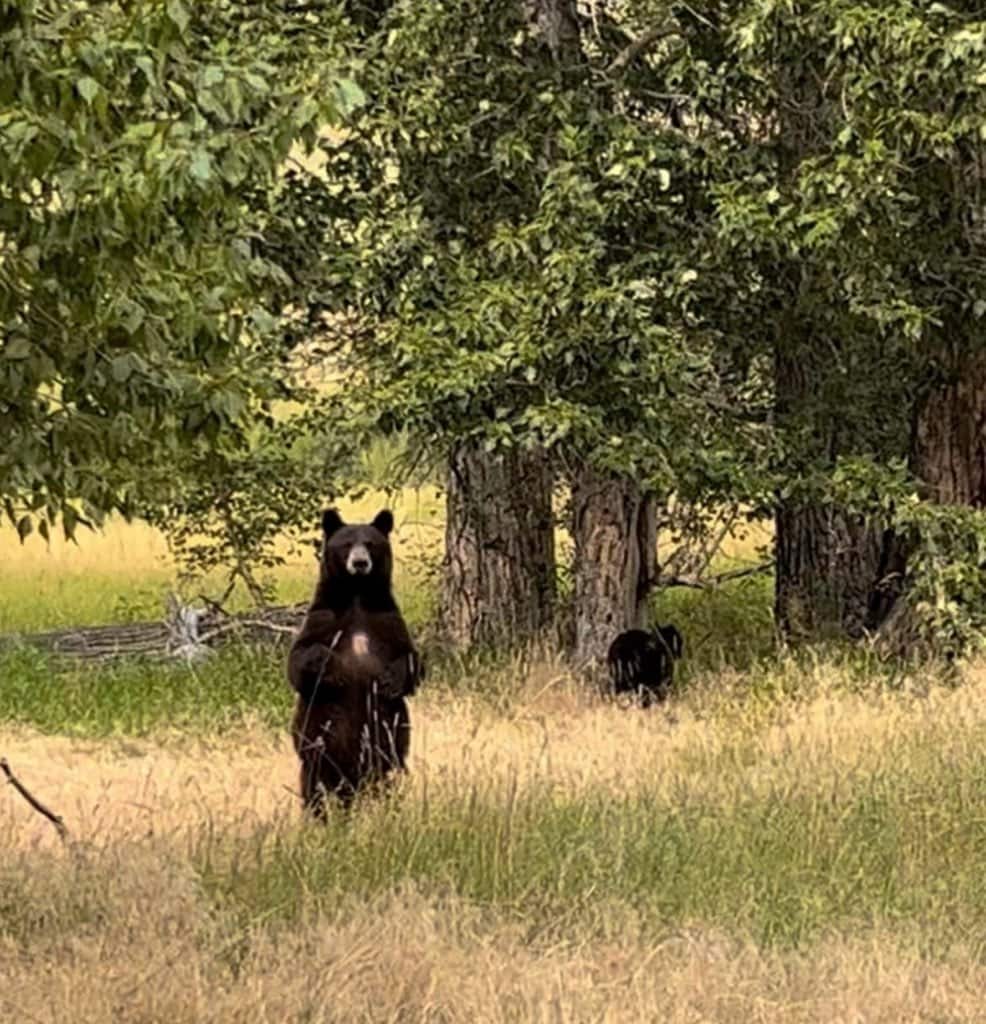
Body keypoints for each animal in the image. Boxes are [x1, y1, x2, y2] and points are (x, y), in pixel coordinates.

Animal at [287, 508, 424, 818]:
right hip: (318, 753)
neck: (357, 596)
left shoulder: (387, 622)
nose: (360, 562)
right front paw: (330, 667)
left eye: (370, 543)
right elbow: (299, 661)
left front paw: (389, 681)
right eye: (347, 543)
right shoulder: (324, 618)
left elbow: (411, 660)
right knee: (315, 789)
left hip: (387, 754)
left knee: (389, 781)